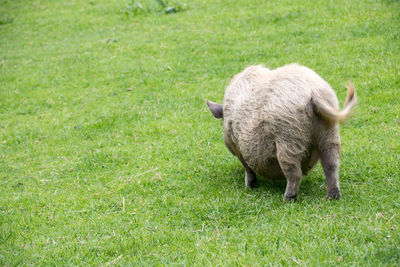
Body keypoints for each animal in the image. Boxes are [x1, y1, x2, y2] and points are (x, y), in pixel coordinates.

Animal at [206, 63, 356, 202]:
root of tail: (313, 93)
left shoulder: (238, 147)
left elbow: (248, 168)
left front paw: (250, 187)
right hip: (330, 130)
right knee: (331, 165)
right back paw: (333, 197)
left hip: (288, 137)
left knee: (295, 173)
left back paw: (287, 199)